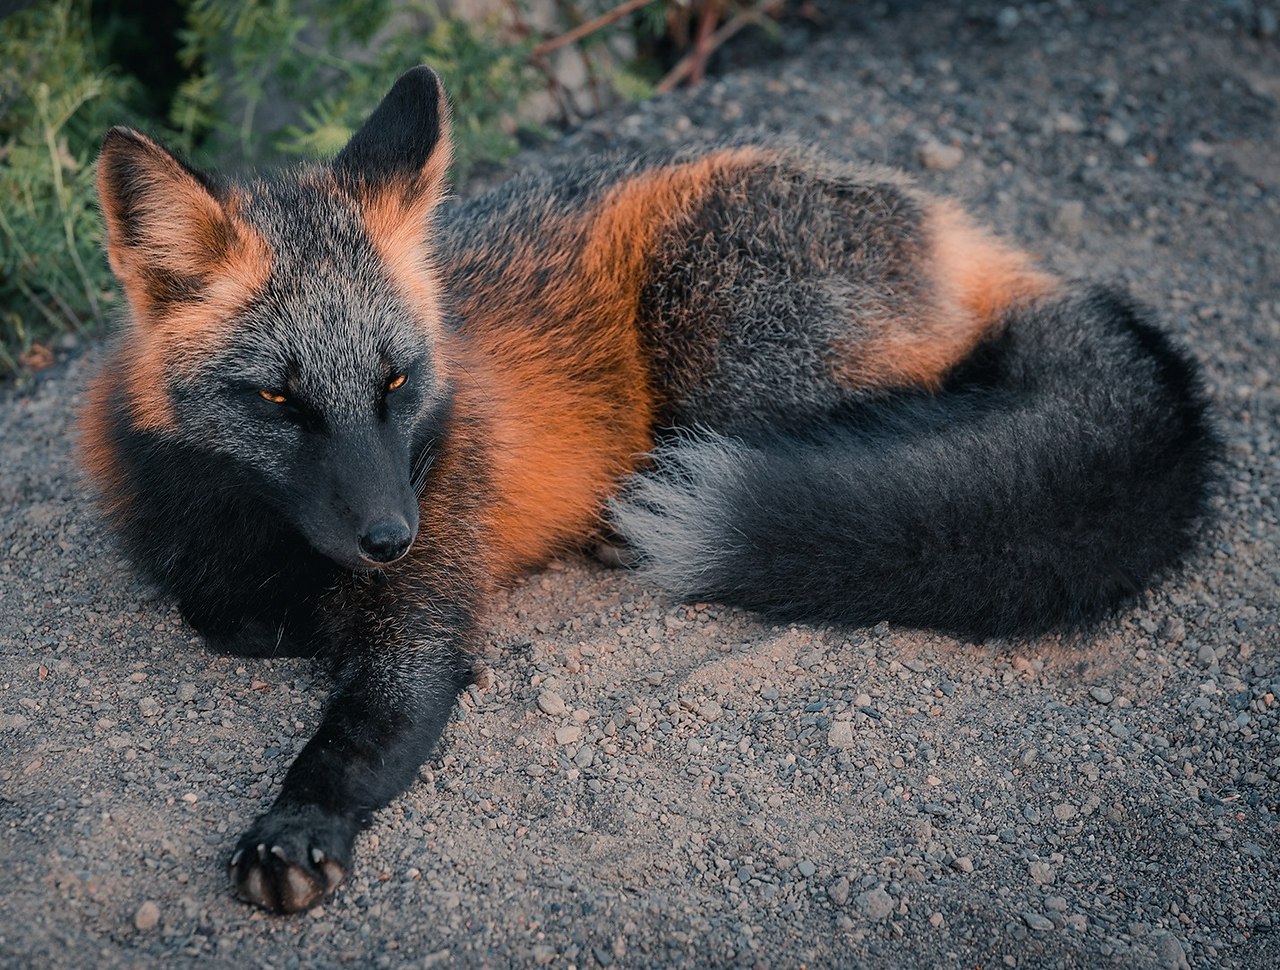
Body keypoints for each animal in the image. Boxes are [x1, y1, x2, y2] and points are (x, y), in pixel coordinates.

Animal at [80, 66, 1218, 911]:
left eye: (395, 382)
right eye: (279, 398)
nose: (389, 535)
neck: (262, 534)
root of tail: (949, 223)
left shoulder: (428, 613)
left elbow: (359, 732)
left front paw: (298, 825)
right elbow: (218, 613)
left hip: (718, 344)